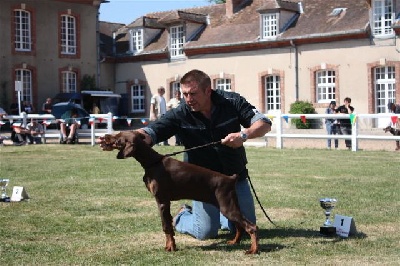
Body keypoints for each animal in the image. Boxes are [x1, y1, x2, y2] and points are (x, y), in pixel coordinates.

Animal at [101, 132, 260, 255]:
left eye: (117, 137)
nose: (104, 136)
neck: (152, 161)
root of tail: (230, 178)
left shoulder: (162, 201)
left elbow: (166, 227)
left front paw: (170, 247)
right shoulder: (164, 202)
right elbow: (168, 227)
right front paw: (170, 245)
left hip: (227, 206)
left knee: (251, 226)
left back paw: (253, 250)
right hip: (228, 206)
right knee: (240, 226)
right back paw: (234, 241)